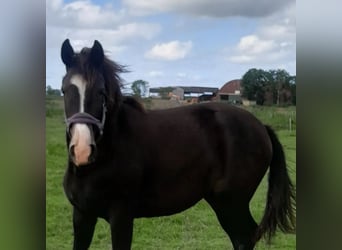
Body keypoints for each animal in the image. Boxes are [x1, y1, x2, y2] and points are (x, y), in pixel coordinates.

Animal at [60, 39, 294, 250]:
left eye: (101, 91)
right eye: (64, 90)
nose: (82, 150)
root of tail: (261, 126)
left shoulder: (121, 218)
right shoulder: (82, 215)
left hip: (231, 203)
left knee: (244, 238)